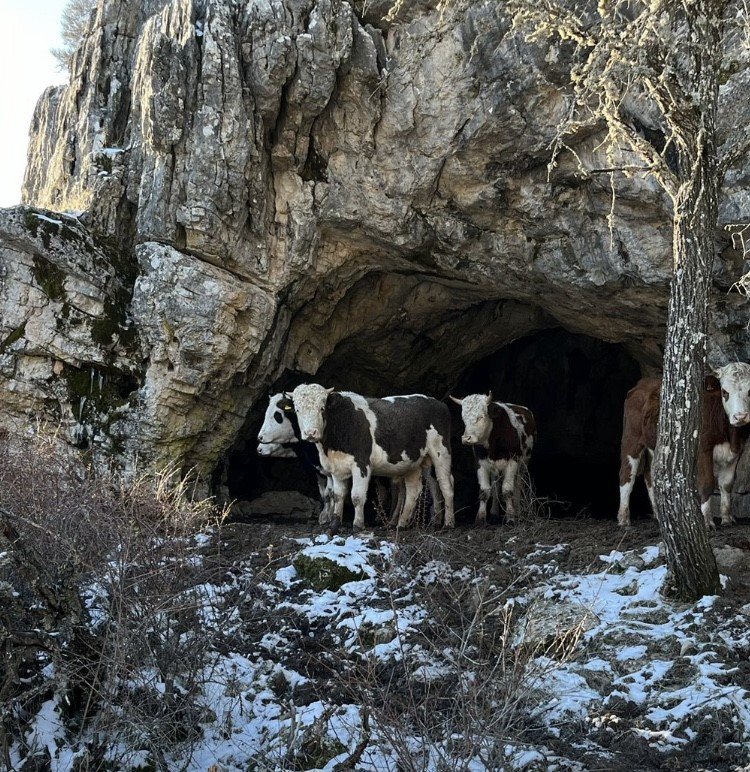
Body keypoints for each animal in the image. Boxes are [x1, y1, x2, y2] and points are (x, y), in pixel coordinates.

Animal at [450, 392, 536, 524]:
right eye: (463, 418)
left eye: (480, 417)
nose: (466, 438)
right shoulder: (480, 463)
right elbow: (484, 491)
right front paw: (481, 518)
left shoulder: (512, 461)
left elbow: (507, 490)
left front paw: (511, 517)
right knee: (496, 486)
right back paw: (494, 513)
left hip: (524, 463)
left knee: (518, 484)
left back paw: (518, 511)